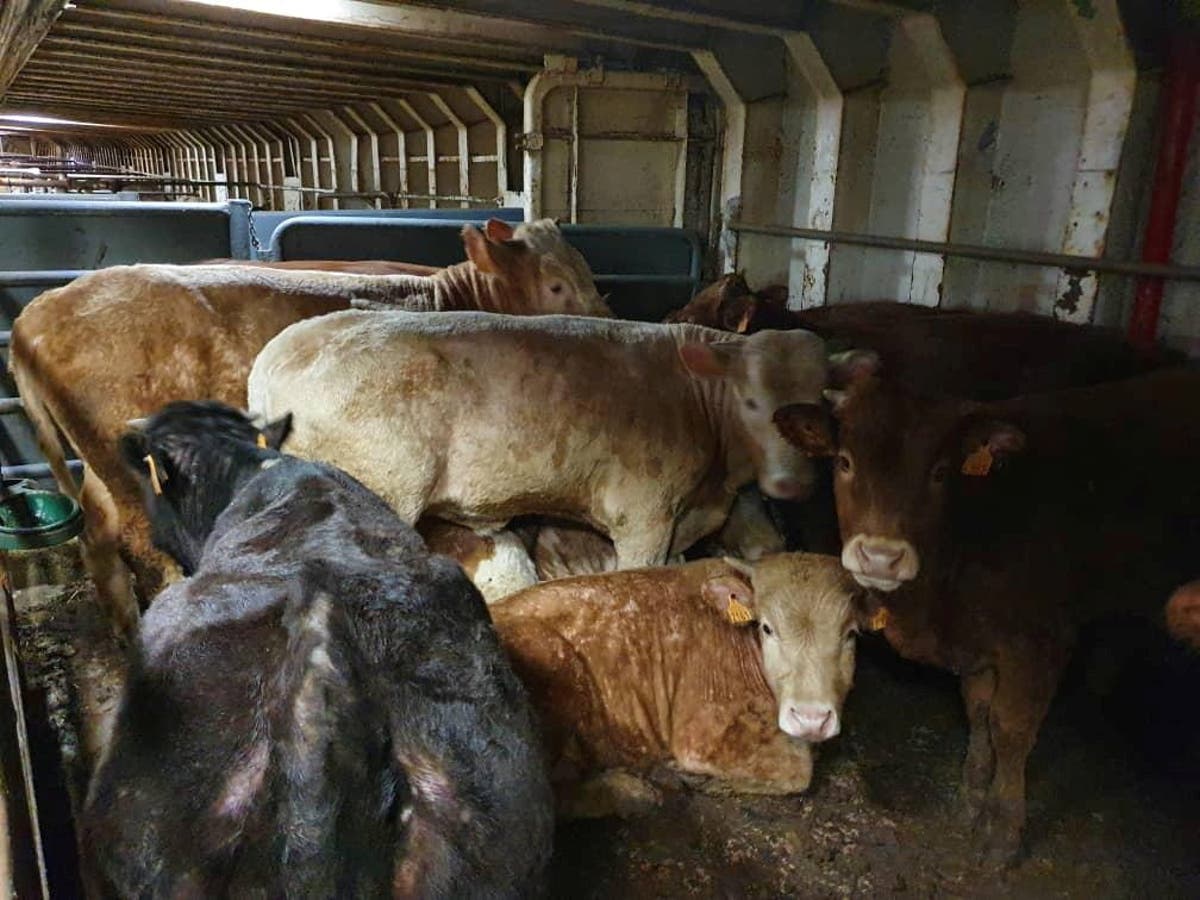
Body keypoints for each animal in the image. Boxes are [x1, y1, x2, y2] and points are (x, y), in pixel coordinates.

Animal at [10, 218, 608, 633]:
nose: (609, 321)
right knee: (144, 551)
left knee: (100, 538)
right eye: (557, 286)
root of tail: (38, 312)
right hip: (133, 469)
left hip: (98, 465)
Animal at [489, 553, 872, 816]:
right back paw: (632, 791)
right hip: (552, 657)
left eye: (851, 634)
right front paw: (701, 779)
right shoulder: (699, 735)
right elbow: (798, 771)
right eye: (767, 628)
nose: (811, 718)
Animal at [773, 365, 1200, 865]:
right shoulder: (977, 643)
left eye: (940, 473)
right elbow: (978, 712)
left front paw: (1003, 829)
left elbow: (1010, 729)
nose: (881, 557)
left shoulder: (1038, 643)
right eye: (844, 462)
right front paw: (973, 792)